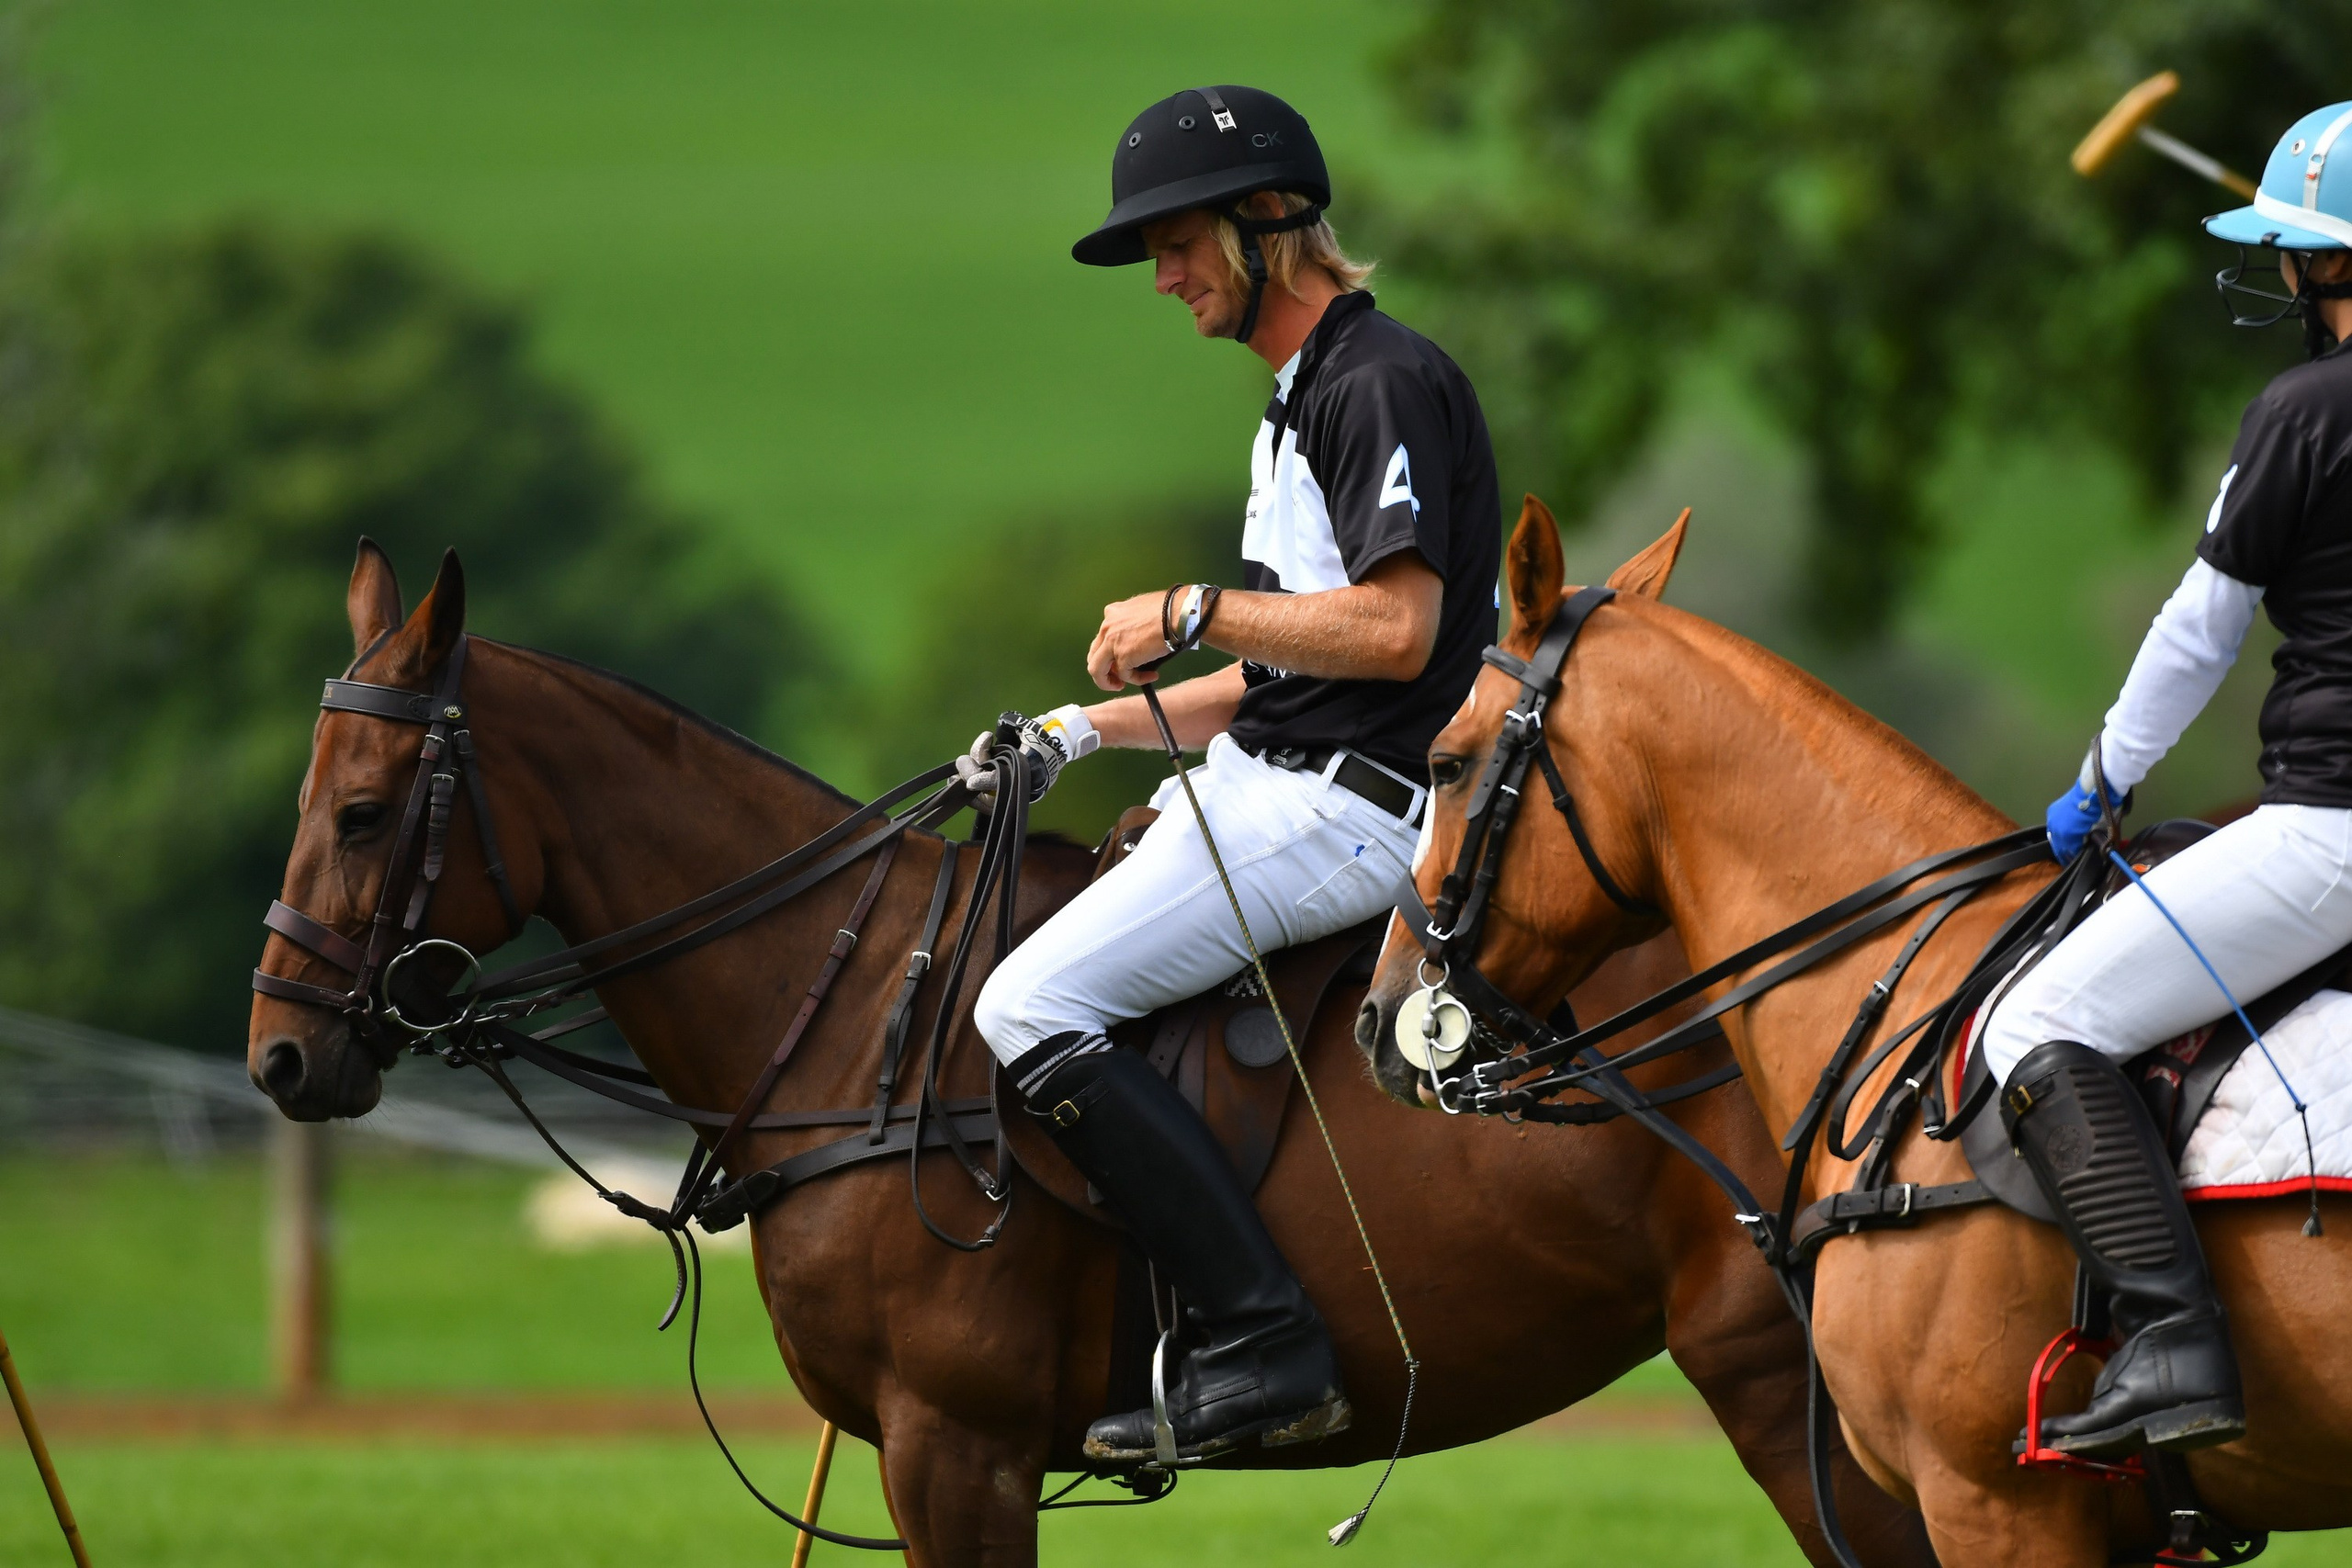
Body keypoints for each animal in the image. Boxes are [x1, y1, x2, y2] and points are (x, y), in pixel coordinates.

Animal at [246, 539, 1936, 1567]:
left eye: (364, 810)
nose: (278, 1056)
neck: (852, 1013)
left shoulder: (957, 1440)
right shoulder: (921, 1447)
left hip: (1792, 1382)